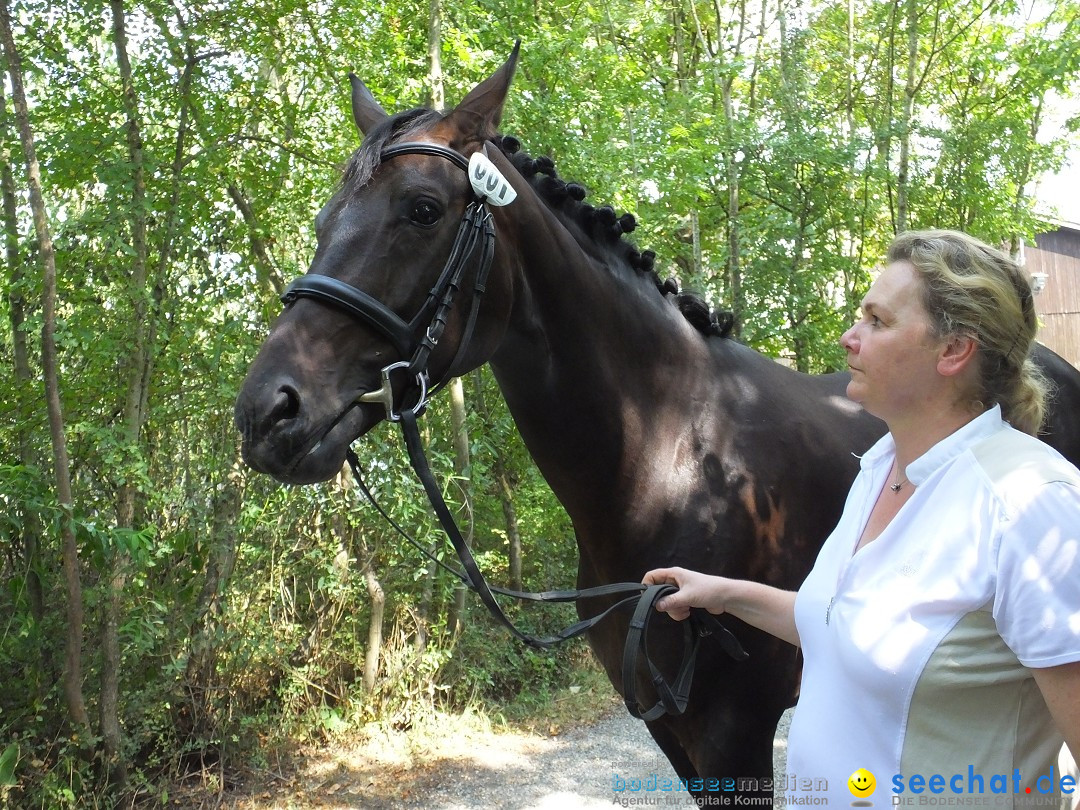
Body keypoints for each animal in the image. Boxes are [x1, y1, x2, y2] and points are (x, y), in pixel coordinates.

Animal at [234, 45, 1080, 807]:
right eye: (326, 218)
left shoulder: (735, 731)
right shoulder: (667, 726)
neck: (669, 452)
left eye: (422, 210)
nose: (268, 411)